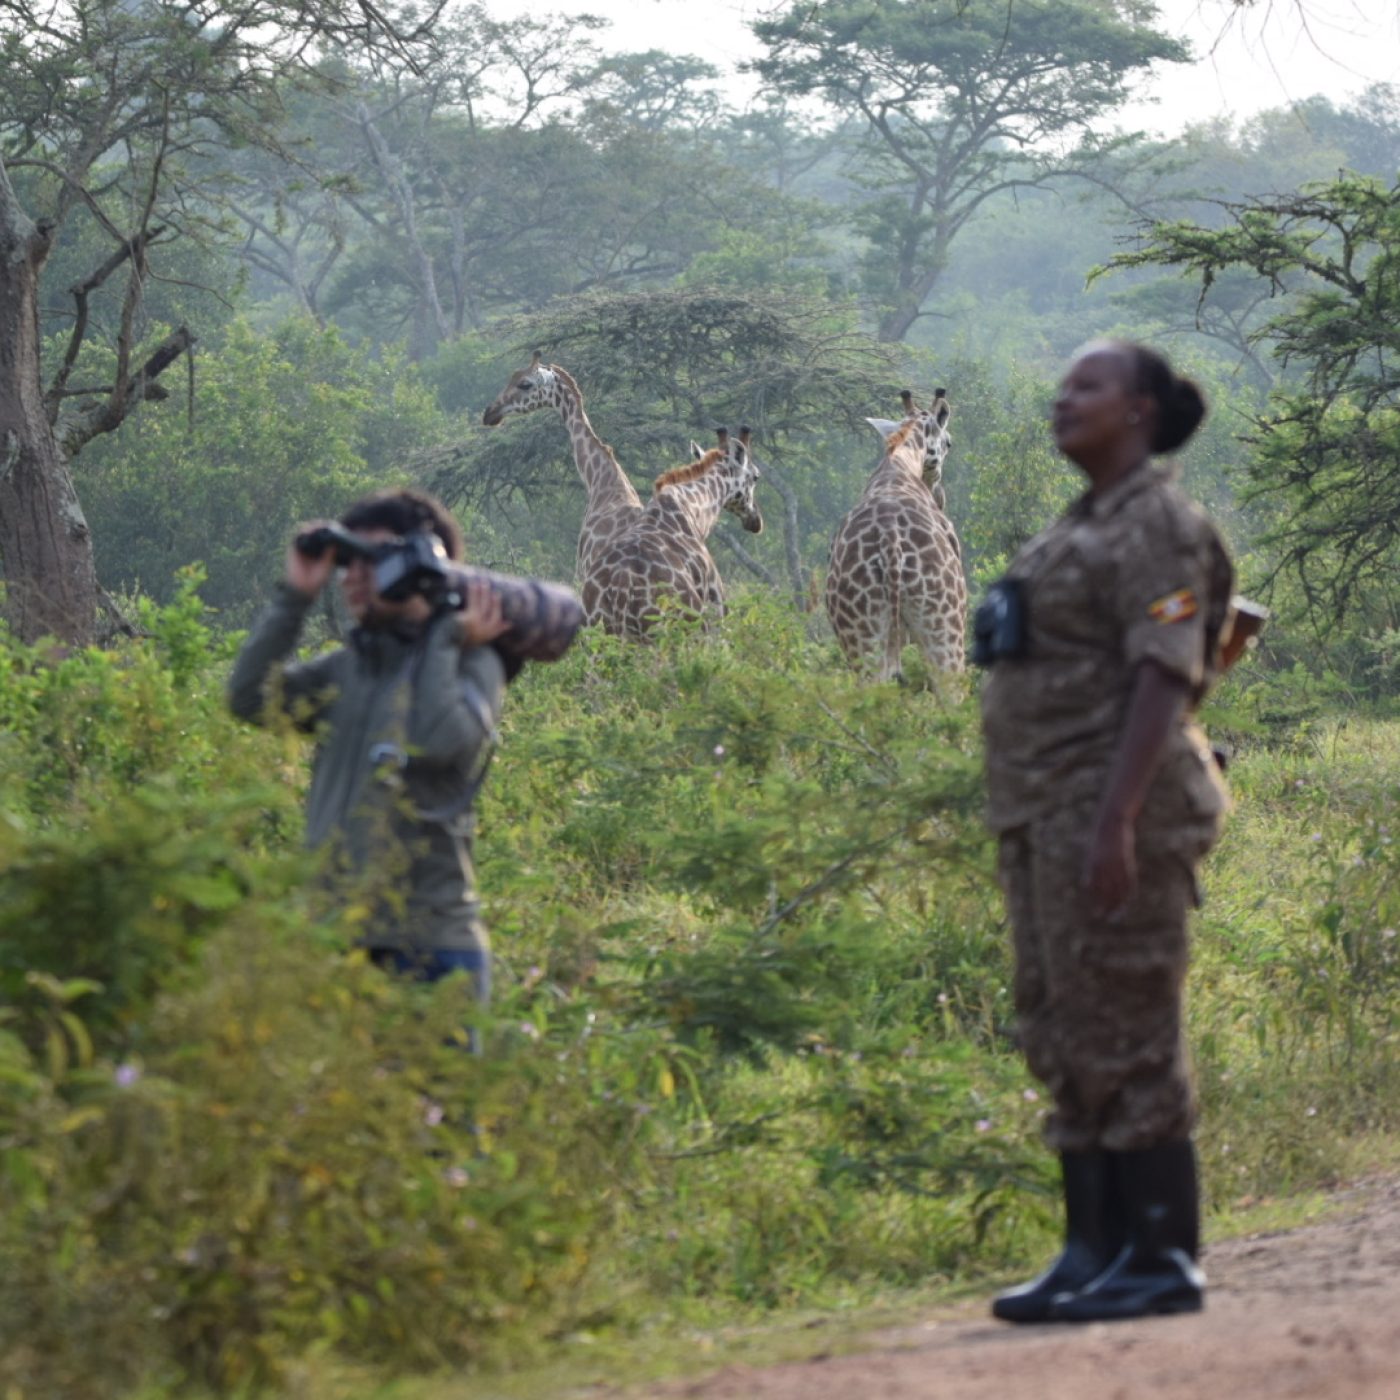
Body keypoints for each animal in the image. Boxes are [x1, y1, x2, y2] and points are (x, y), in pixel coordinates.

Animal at [823, 392, 968, 680]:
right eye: (949, 443)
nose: (941, 498)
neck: (900, 465)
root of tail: (891, 543)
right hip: (945, 626)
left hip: (861, 634)